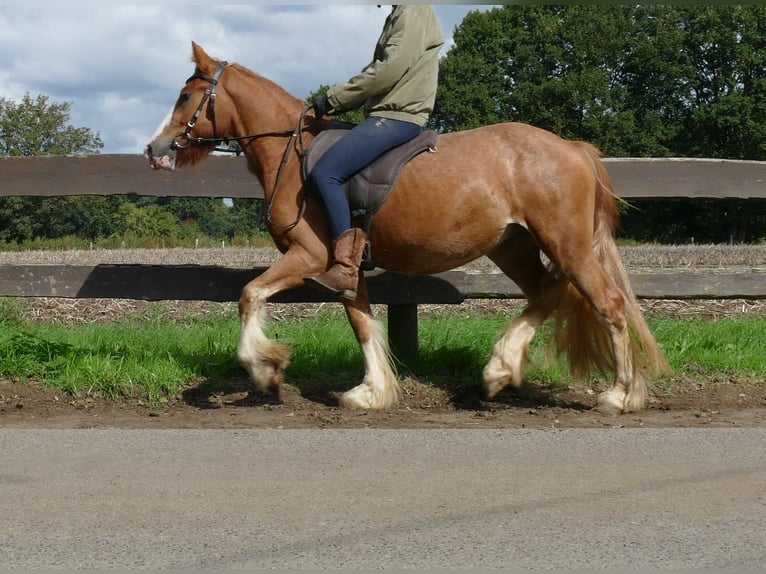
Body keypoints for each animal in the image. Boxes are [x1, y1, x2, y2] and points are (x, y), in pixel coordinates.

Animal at [145, 42, 670, 414]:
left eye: (187, 96)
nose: (154, 150)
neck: (293, 155)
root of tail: (572, 147)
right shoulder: (344, 268)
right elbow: (360, 321)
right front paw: (371, 392)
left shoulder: (309, 257)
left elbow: (249, 294)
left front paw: (265, 370)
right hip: (513, 246)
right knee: (548, 293)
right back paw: (498, 371)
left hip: (568, 245)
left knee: (610, 305)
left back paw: (619, 396)